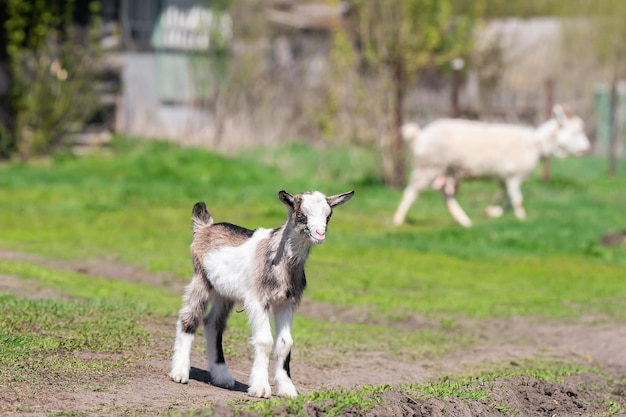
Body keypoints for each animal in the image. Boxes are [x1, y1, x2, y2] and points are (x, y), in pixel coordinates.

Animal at [168, 188, 354, 396]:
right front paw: (260, 388)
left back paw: (223, 377)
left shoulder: (287, 303)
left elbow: (285, 343)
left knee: (213, 323)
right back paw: (179, 373)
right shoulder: (258, 300)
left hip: (224, 293)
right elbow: (265, 341)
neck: (278, 259)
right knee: (189, 317)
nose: (320, 233)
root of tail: (205, 228)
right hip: (201, 278)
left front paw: (287, 389)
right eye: (300, 214)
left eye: (328, 216)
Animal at [392, 105, 588, 228]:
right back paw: (398, 219)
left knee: (447, 197)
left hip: (446, 170)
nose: (587, 148)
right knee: (411, 192)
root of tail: (419, 135)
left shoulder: (503, 178)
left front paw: (491, 212)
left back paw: (465, 221)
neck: (534, 144)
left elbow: (509, 200)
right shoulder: (513, 176)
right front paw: (522, 219)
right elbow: (517, 200)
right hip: (428, 166)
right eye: (575, 132)